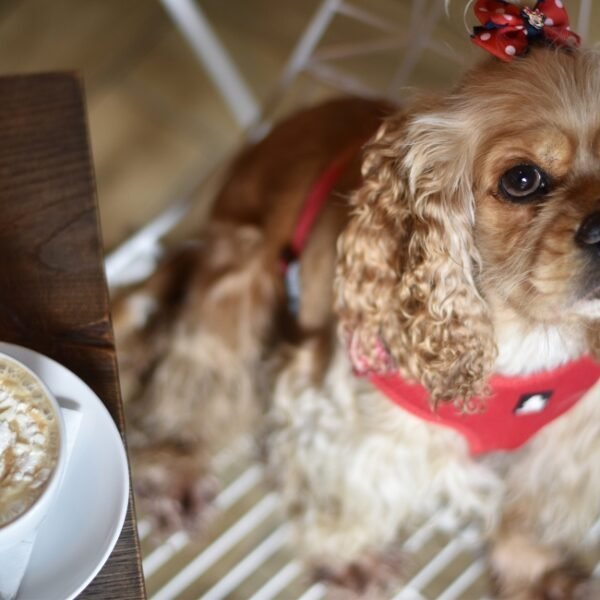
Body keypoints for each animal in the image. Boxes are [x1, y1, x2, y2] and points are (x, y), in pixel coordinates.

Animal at [115, 7, 600, 596]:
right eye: (522, 179)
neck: (528, 342)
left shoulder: (568, 441)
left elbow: (524, 511)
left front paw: (536, 570)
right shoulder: (339, 412)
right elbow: (347, 499)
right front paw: (350, 558)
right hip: (238, 277)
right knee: (191, 394)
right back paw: (178, 470)